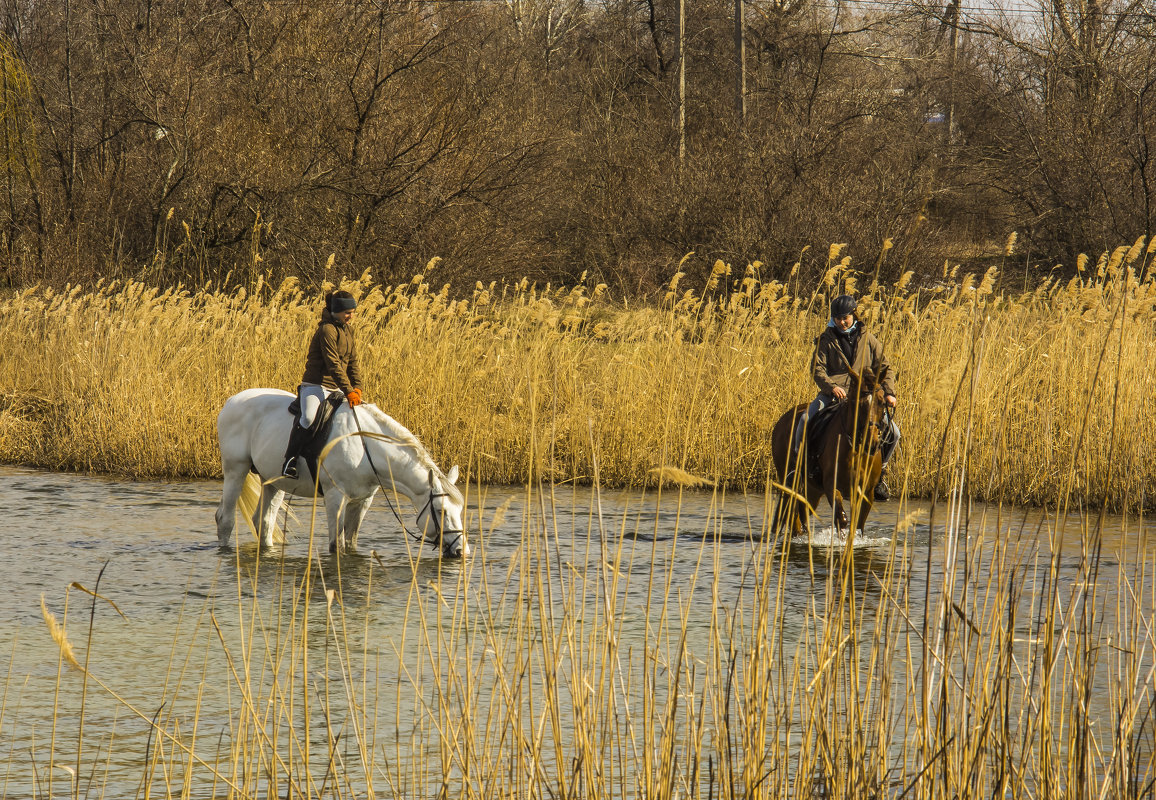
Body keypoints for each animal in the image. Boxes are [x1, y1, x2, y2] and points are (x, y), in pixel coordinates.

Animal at [215, 388, 467, 557]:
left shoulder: (363, 500)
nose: (462, 551)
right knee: (225, 519)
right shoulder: (336, 497)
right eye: (441, 511)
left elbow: (351, 541)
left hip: (273, 481)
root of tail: (231, 401)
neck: (366, 447)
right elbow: (336, 545)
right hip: (236, 469)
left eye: (459, 510)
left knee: (264, 522)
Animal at [772, 367, 887, 536]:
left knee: (802, 509)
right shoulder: (831, 485)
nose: (871, 442)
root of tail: (782, 420)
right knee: (792, 509)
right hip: (790, 479)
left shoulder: (867, 492)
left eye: (882, 402)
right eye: (856, 402)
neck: (856, 449)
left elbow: (858, 525)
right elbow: (842, 519)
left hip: (812, 489)